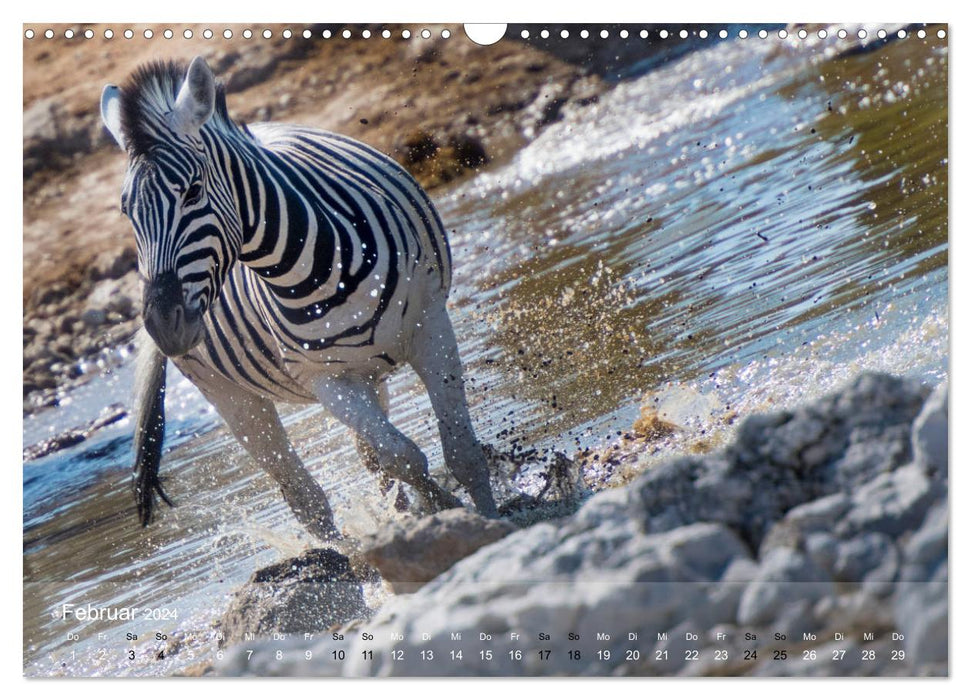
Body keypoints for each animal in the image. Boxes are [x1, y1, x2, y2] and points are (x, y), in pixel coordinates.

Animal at [100, 57, 502, 544]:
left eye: (193, 191)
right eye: (127, 211)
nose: (163, 324)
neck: (318, 268)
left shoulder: (432, 325)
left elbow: (459, 450)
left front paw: (499, 522)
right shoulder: (324, 379)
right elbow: (403, 457)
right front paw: (450, 518)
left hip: (368, 370)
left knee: (367, 456)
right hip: (231, 396)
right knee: (307, 498)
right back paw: (347, 557)